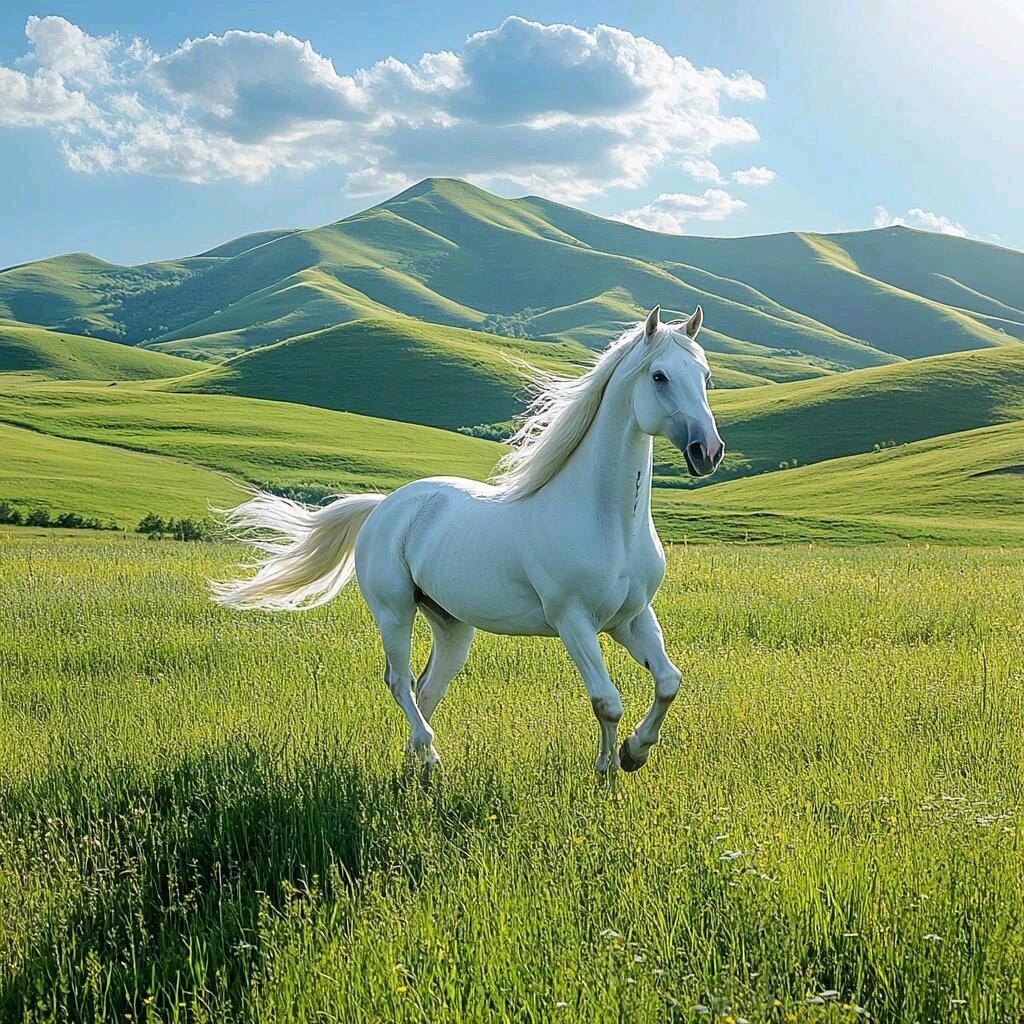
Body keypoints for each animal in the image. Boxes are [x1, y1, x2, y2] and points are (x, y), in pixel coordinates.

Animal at [212, 305, 724, 777]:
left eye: (705, 375)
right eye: (659, 376)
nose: (708, 452)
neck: (608, 524)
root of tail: (384, 506)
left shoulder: (630, 617)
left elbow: (668, 681)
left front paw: (633, 753)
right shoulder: (574, 621)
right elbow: (606, 700)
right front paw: (608, 771)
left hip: (451, 624)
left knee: (427, 686)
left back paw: (416, 766)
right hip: (393, 611)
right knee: (399, 681)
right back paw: (429, 753)